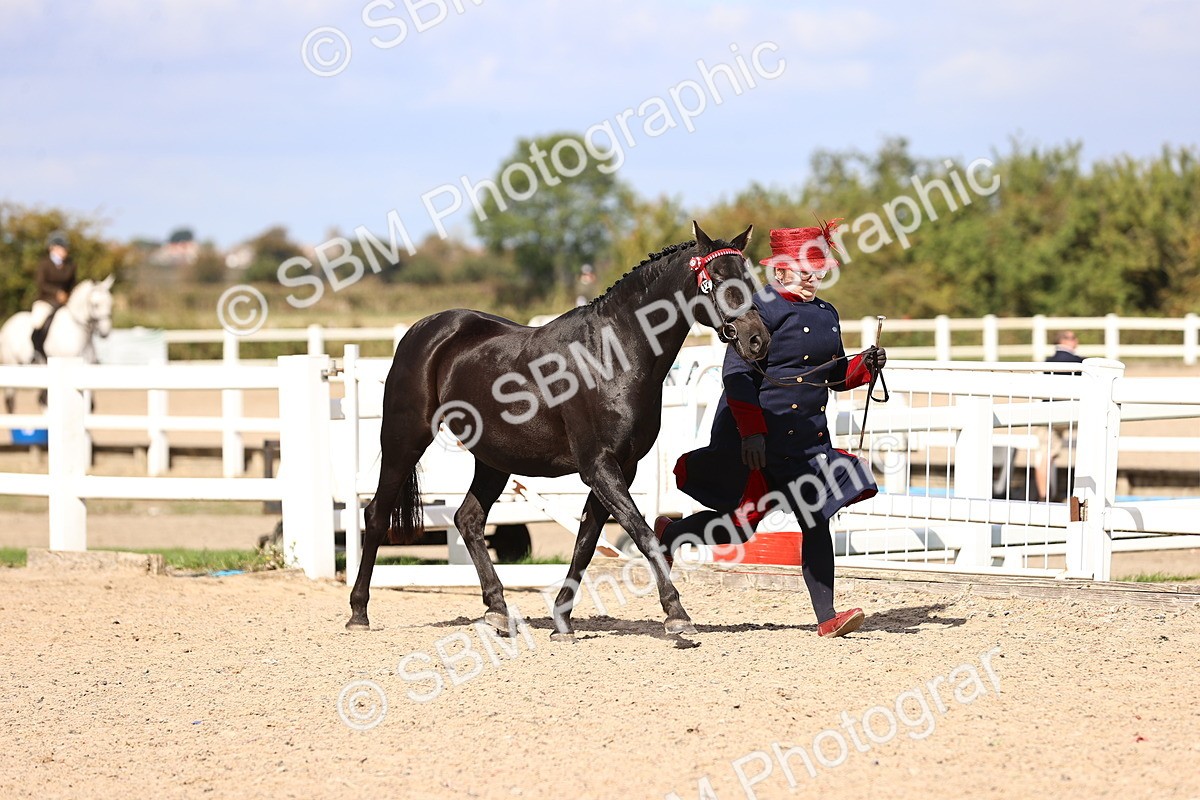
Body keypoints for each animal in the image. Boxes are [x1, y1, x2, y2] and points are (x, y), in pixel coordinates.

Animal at [0, 276, 114, 412]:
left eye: (110, 302)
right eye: (95, 305)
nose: (105, 332)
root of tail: (7, 324)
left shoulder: (87, 367)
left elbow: (90, 405)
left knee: (41, 399)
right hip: (12, 364)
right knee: (12, 401)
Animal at [347, 222, 771, 641]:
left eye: (748, 277)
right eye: (716, 279)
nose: (757, 339)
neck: (612, 355)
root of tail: (422, 330)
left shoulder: (621, 467)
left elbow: (587, 541)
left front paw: (562, 622)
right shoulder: (598, 465)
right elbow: (641, 532)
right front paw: (676, 614)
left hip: (493, 459)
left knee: (468, 519)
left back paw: (497, 611)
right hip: (405, 438)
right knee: (376, 514)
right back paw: (358, 612)